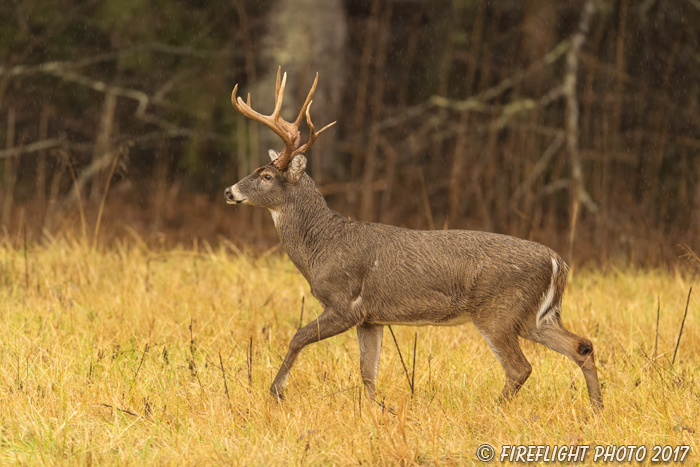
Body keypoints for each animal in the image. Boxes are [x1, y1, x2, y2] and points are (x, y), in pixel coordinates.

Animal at [223, 67, 600, 412]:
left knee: (520, 367)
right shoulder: (371, 318)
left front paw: (275, 392)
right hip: (536, 316)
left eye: (266, 175)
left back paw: (495, 410)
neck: (320, 247)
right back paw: (596, 410)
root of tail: (558, 261)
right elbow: (368, 371)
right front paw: (374, 412)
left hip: (499, 311)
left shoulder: (345, 303)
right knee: (582, 345)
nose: (229, 191)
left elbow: (298, 338)